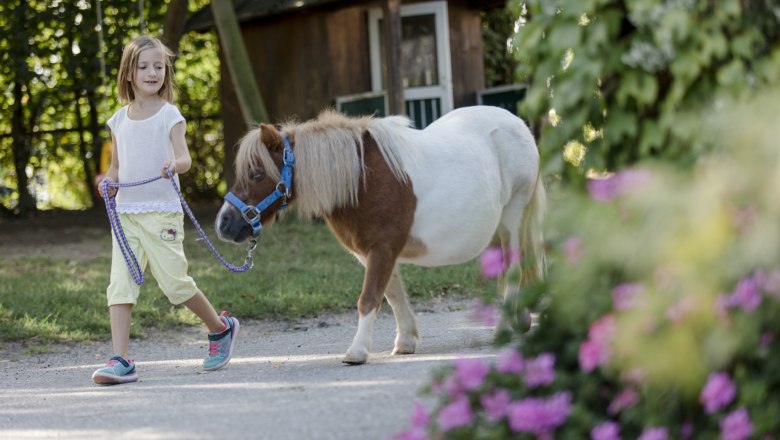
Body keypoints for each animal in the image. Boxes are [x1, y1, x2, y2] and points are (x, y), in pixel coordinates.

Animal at [212, 106, 544, 364]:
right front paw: (406, 340)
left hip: (513, 217)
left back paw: (504, 328)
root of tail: (518, 124)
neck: (362, 179)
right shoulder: (371, 252)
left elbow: (369, 297)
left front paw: (357, 351)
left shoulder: (382, 248)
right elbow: (392, 293)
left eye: (256, 173)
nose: (224, 224)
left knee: (513, 271)